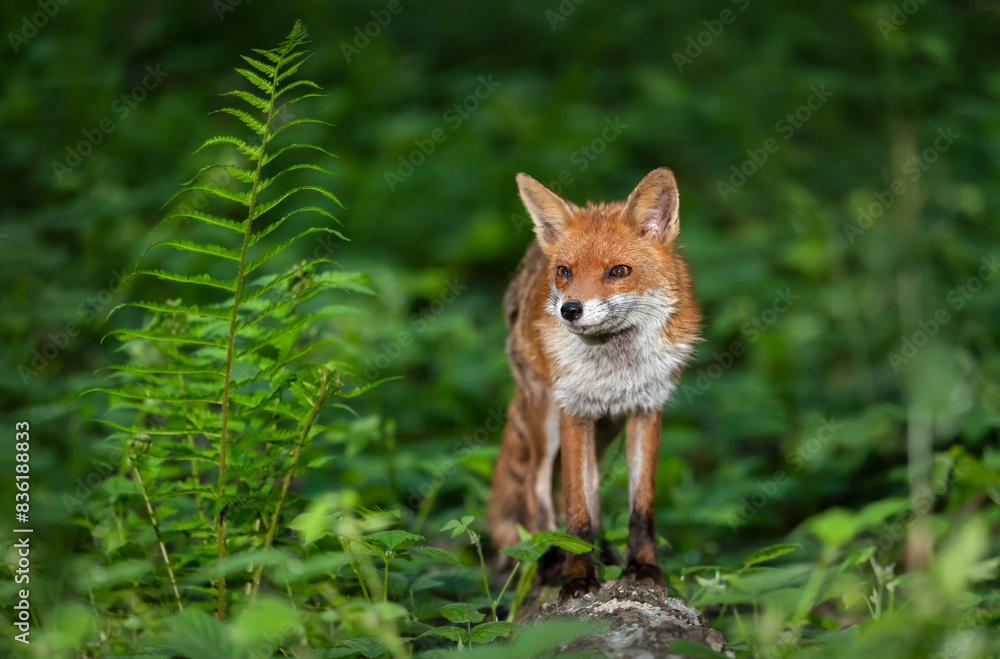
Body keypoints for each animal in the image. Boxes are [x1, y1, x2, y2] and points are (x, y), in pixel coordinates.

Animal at [487, 167, 701, 602]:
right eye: (564, 272)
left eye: (618, 271)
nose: (569, 310)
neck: (614, 365)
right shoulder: (573, 411)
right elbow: (576, 512)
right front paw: (578, 577)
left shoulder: (646, 409)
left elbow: (640, 507)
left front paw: (643, 569)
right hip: (545, 420)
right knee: (537, 492)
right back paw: (550, 564)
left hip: (607, 430)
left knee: (594, 487)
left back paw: (604, 552)